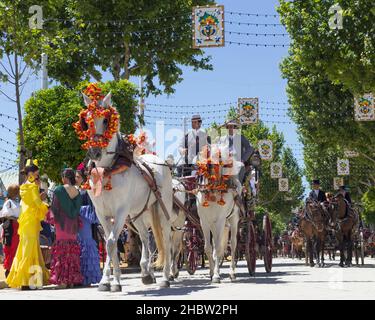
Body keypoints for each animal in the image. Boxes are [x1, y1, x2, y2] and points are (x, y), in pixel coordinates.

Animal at [81, 92, 177, 290]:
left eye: (106, 120)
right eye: (86, 121)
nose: (94, 152)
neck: (107, 170)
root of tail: (160, 161)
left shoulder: (120, 211)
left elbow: (111, 242)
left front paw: (114, 281)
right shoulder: (101, 213)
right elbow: (109, 244)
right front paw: (107, 280)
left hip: (162, 209)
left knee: (166, 239)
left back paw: (165, 277)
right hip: (137, 213)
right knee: (145, 237)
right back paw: (146, 272)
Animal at [197, 145, 241, 282]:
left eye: (220, 157)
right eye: (207, 155)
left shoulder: (220, 221)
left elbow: (217, 248)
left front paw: (216, 275)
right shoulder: (204, 222)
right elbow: (208, 248)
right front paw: (212, 272)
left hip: (233, 220)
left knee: (233, 244)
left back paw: (232, 273)